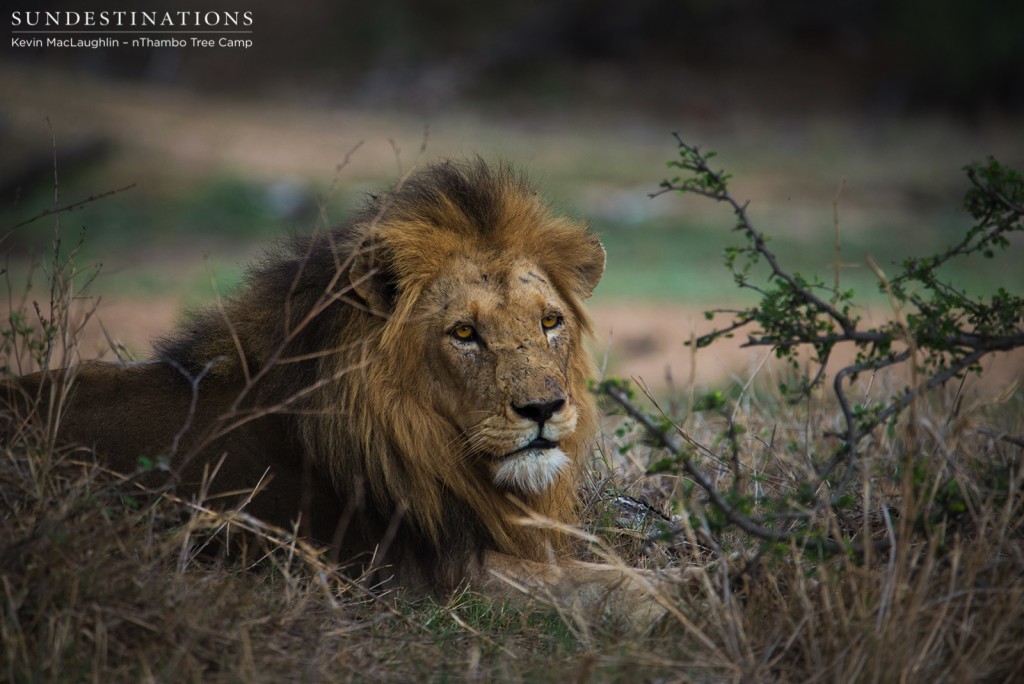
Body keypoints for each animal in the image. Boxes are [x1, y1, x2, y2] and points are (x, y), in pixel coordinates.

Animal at [4, 158, 671, 618]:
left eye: (550, 322)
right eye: (464, 333)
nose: (544, 408)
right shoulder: (421, 576)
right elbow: (593, 582)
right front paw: (671, 604)